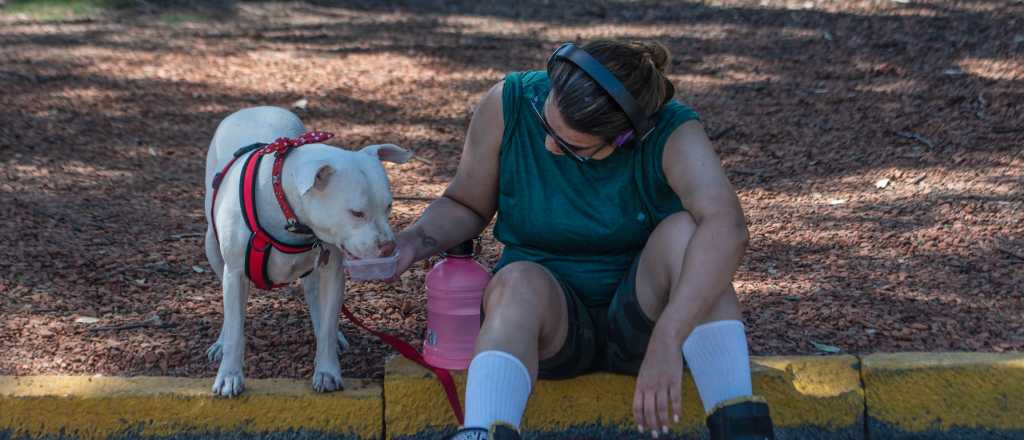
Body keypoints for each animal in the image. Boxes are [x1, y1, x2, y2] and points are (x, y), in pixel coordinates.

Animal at [201, 105, 409, 394]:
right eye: (356, 213)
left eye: (389, 206)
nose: (388, 246)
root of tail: (255, 108)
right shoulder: (235, 275)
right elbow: (235, 330)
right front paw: (229, 375)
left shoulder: (332, 271)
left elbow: (328, 324)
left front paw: (327, 370)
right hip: (212, 247)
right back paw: (220, 342)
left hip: (316, 268)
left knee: (315, 300)